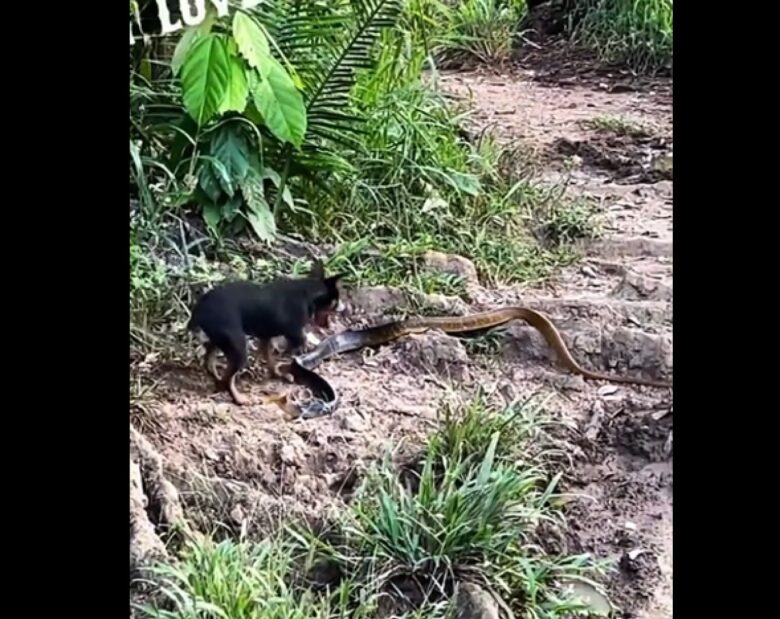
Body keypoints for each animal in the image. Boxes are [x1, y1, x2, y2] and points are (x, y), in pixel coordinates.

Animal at [186, 260, 344, 402]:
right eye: (335, 302)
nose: (343, 308)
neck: (308, 295)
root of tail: (200, 309)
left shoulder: (266, 337)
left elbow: (269, 358)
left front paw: (277, 374)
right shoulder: (295, 335)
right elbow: (290, 351)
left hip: (220, 339)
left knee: (210, 360)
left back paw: (217, 380)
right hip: (238, 346)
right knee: (228, 378)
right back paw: (238, 398)